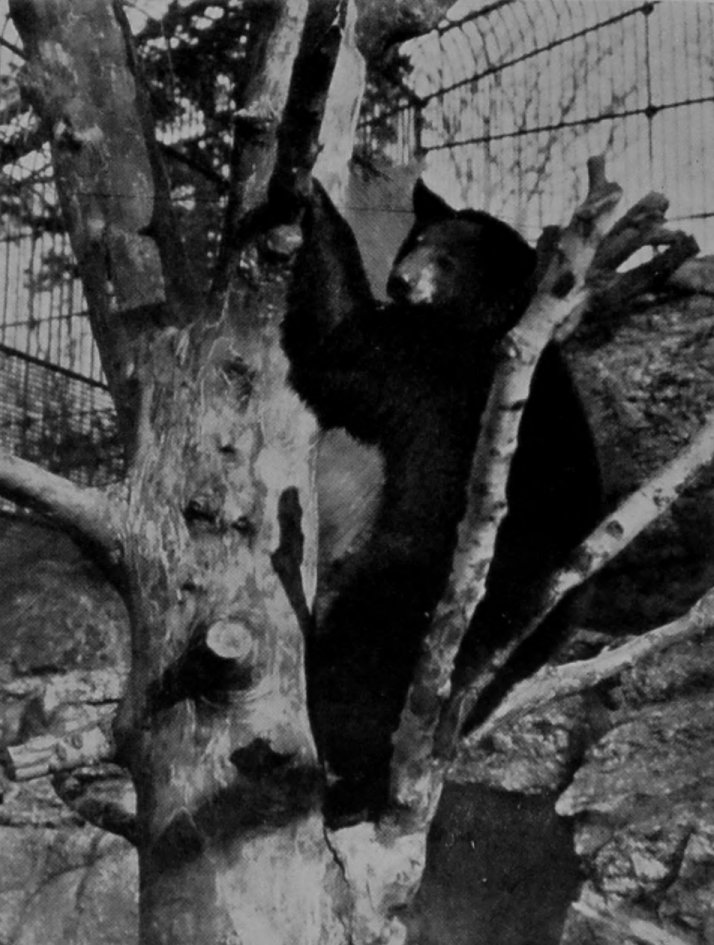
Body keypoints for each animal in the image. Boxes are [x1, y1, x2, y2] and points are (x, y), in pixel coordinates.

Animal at [283, 177, 602, 822]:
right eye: (419, 240)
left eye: (449, 260)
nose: (402, 280)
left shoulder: (430, 363)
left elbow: (339, 344)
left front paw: (318, 202)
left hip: (419, 582)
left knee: (361, 649)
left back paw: (345, 769)